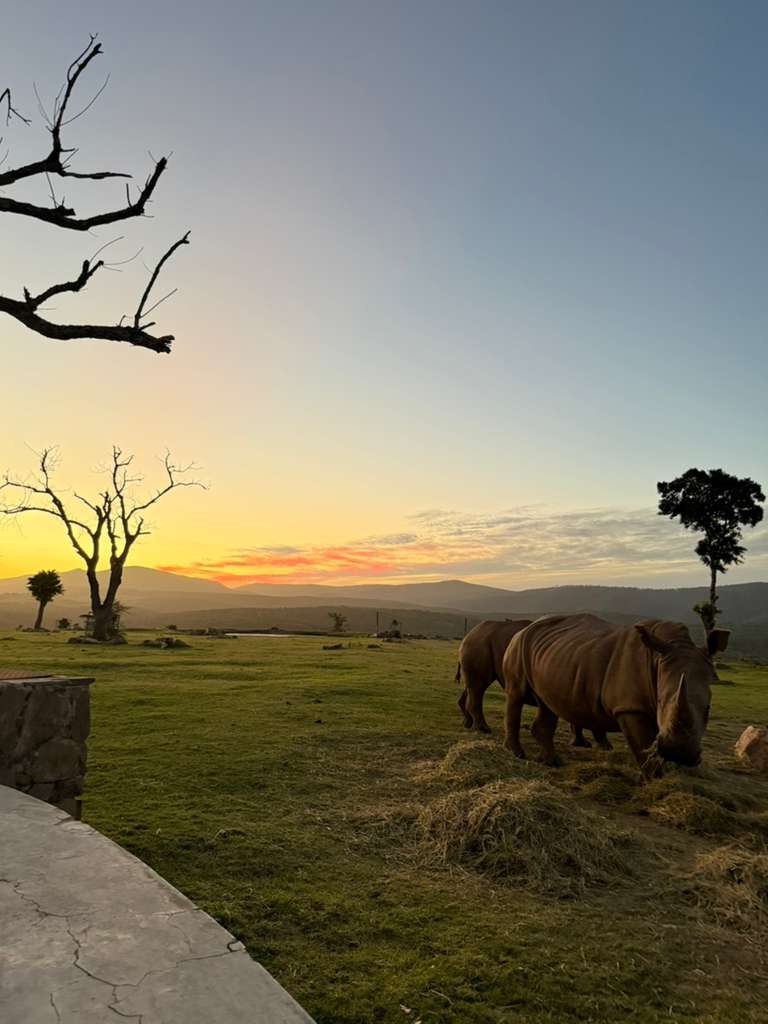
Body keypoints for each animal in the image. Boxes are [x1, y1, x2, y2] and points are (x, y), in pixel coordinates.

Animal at [456, 618, 611, 749]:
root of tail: (469, 634)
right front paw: (601, 745)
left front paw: (584, 743)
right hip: (479, 644)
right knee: (479, 687)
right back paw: (483, 729)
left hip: (480, 644)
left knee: (472, 687)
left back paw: (468, 723)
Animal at [501, 613, 729, 775]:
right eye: (660, 701)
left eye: (708, 709)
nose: (679, 754)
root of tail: (523, 629)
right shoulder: (630, 707)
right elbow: (644, 751)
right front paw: (654, 783)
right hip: (518, 645)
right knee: (517, 694)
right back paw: (518, 754)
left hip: (553, 655)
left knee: (547, 703)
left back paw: (551, 763)